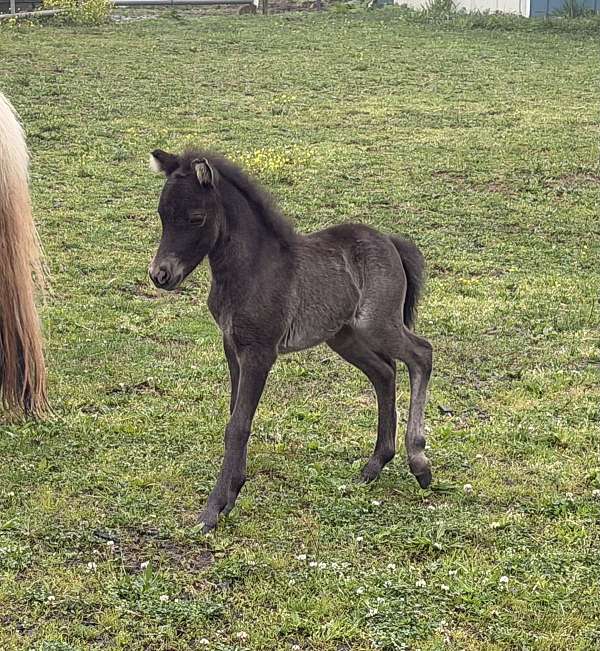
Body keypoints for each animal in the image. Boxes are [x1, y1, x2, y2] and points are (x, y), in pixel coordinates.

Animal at [148, 148, 433, 532]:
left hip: (378, 324)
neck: (251, 270)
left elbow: (238, 425)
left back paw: (419, 463)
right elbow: (236, 416)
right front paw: (231, 494)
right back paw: (375, 464)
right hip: (343, 336)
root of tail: (390, 240)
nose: (159, 275)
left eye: (196, 218)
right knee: (384, 372)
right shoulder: (232, 348)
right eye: (163, 214)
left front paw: (212, 510)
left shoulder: (259, 352)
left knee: (421, 354)